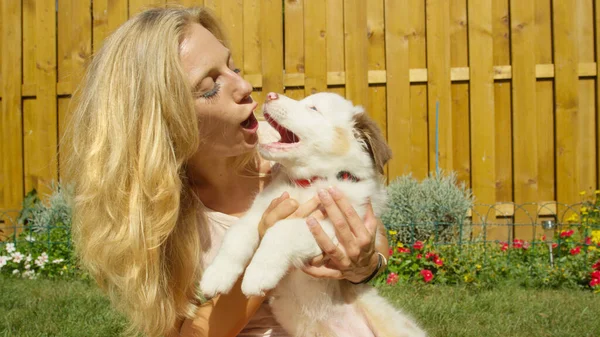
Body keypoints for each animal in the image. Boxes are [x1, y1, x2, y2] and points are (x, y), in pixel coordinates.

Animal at [202, 92, 426, 336]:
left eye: (313, 109)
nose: (270, 95)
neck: (309, 183)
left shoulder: (332, 226)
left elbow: (281, 231)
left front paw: (258, 274)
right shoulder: (259, 214)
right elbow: (236, 238)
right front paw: (215, 276)